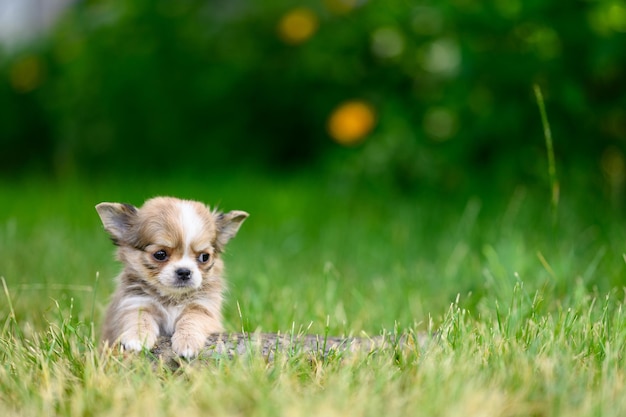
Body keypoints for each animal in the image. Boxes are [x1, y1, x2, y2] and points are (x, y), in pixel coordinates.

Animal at [95, 196, 246, 358]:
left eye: (204, 257)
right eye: (160, 254)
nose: (184, 271)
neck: (172, 298)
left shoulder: (203, 307)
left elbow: (192, 319)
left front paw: (188, 342)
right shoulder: (136, 302)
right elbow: (140, 319)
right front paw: (137, 338)